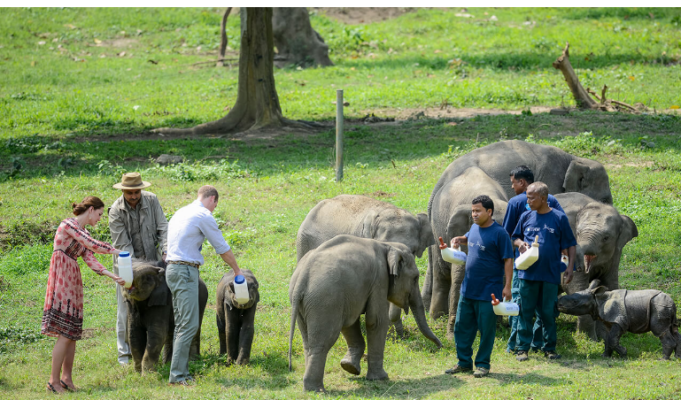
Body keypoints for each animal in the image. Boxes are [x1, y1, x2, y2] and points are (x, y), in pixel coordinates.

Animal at [286, 236, 440, 392]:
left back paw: (311, 387)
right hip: (325, 300)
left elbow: (350, 322)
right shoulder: (380, 280)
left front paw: (350, 367)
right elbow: (376, 321)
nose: (440, 347)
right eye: (415, 278)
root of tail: (301, 278)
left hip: (303, 304)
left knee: (308, 343)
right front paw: (381, 378)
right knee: (323, 342)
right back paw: (317, 390)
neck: (387, 245)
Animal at [552, 193, 636, 340]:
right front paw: (590, 341)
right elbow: (575, 286)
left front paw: (605, 337)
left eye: (606, 238)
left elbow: (610, 285)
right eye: (578, 233)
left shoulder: (615, 254)